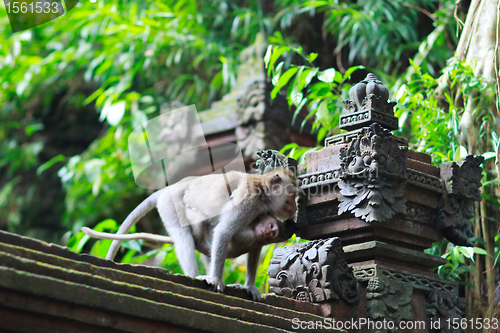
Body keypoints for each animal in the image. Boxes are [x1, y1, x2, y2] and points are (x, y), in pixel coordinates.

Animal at [102, 167, 296, 300]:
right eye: (292, 195)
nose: (295, 207)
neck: (263, 192)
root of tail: (170, 188)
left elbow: (255, 246)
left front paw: (249, 286)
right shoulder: (248, 201)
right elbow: (224, 231)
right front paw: (216, 280)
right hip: (170, 205)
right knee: (184, 237)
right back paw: (195, 276)